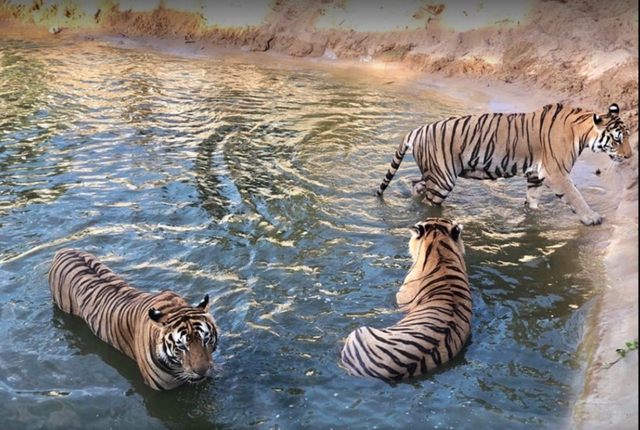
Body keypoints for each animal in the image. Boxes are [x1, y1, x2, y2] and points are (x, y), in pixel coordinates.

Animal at [375, 103, 633, 226]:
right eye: (617, 139)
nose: (629, 156)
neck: (581, 133)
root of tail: (418, 129)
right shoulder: (556, 173)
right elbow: (576, 196)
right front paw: (591, 218)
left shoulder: (536, 174)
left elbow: (533, 198)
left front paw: (532, 215)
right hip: (442, 179)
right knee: (428, 202)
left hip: (433, 174)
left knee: (415, 184)